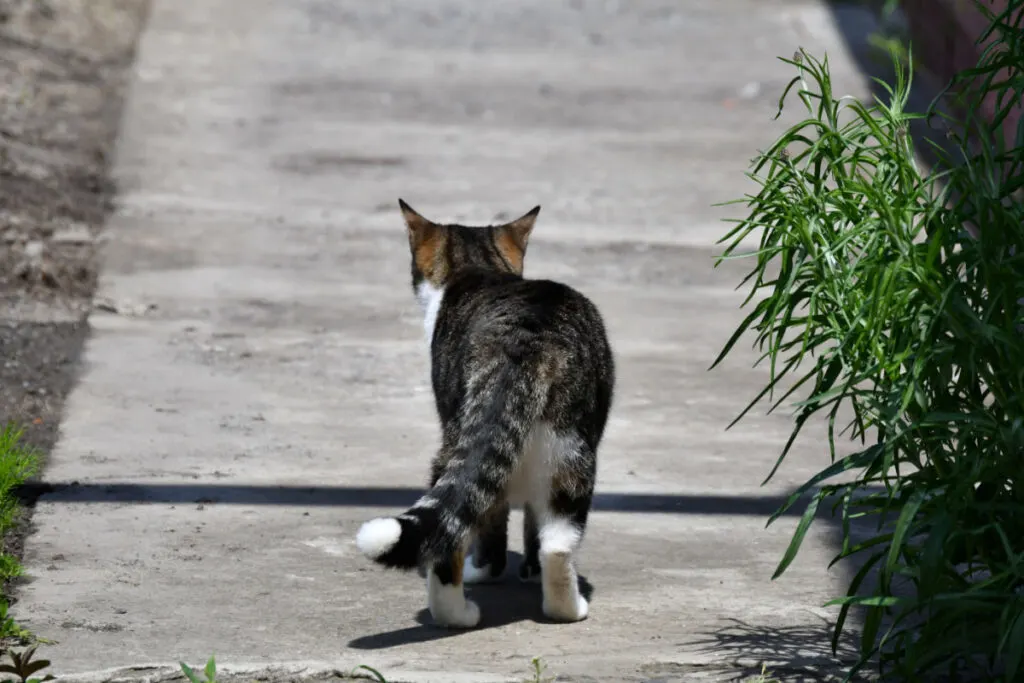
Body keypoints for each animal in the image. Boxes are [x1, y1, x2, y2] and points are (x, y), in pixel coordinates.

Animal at [356, 198, 614, 630]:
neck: (479, 268)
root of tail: (526, 339)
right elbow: (529, 526)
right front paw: (527, 570)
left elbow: (489, 524)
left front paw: (486, 571)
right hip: (571, 450)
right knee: (557, 542)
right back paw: (566, 608)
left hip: (454, 444)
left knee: (451, 536)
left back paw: (456, 615)